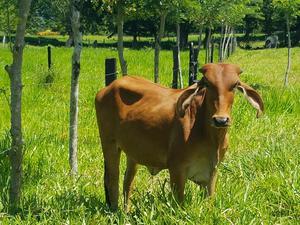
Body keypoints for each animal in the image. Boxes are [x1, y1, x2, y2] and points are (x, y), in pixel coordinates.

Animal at [95, 62, 264, 209]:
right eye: (207, 84)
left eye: (235, 85)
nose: (221, 120)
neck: (211, 138)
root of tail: (109, 87)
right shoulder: (177, 169)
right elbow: (179, 204)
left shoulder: (212, 172)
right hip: (109, 144)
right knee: (112, 180)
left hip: (133, 152)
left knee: (127, 181)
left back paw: (126, 211)